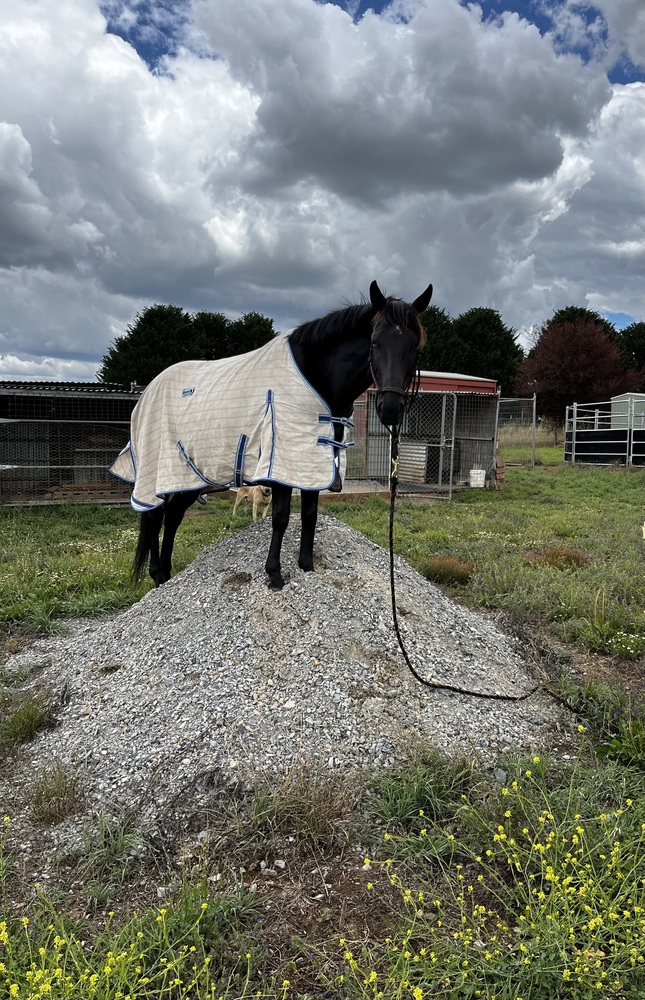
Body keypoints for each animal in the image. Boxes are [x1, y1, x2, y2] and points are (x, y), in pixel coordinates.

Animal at [110, 279, 432, 590]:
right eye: (375, 342)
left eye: (416, 348)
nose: (390, 409)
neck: (317, 377)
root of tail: (148, 390)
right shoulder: (281, 464)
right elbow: (280, 517)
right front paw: (274, 574)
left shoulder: (312, 461)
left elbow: (310, 515)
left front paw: (306, 565)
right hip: (159, 470)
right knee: (155, 515)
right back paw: (156, 574)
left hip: (190, 475)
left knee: (174, 515)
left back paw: (165, 574)